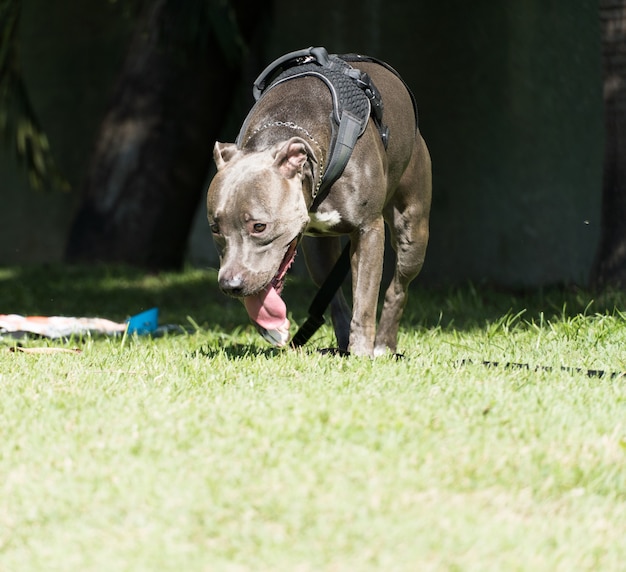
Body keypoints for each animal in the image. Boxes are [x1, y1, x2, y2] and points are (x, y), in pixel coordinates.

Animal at [207, 53, 432, 358]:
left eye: (259, 226)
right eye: (215, 228)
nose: (229, 286)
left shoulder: (368, 230)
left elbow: (365, 298)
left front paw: (362, 351)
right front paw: (271, 328)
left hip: (412, 230)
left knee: (397, 288)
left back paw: (383, 344)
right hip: (318, 252)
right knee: (333, 296)